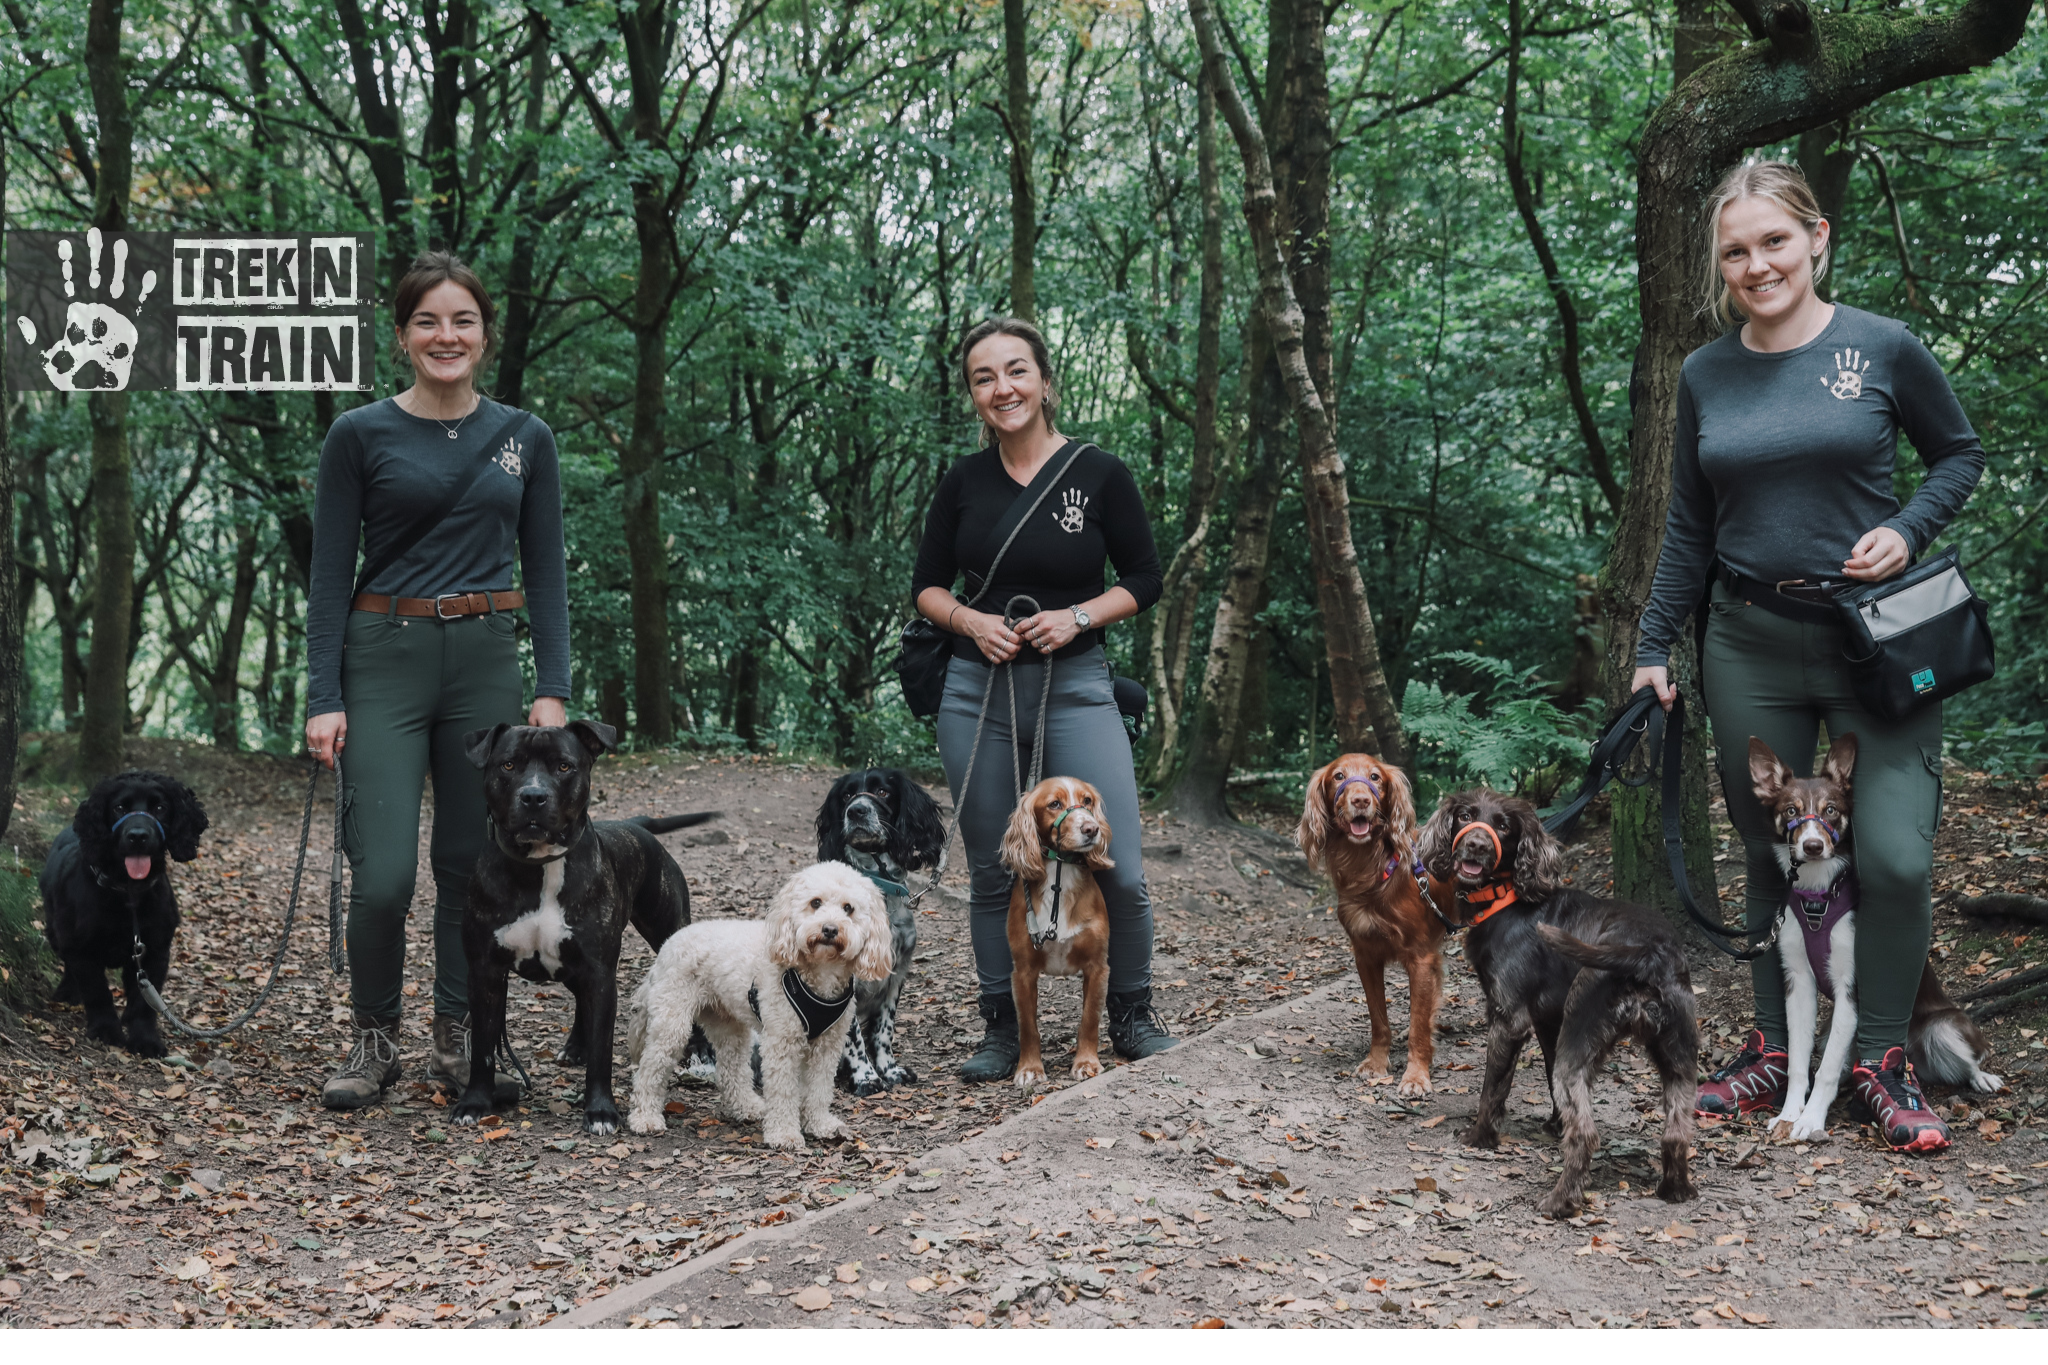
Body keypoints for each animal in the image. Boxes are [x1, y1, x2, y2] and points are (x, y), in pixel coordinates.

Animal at [452, 720, 716, 1137]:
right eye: (508, 765)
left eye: (564, 766)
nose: (533, 796)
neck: (540, 866)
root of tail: (633, 824)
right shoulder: (485, 972)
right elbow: (482, 1047)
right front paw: (475, 1102)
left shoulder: (600, 973)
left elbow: (602, 1053)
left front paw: (601, 1111)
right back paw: (575, 1046)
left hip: (668, 931)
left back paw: (701, 1050)